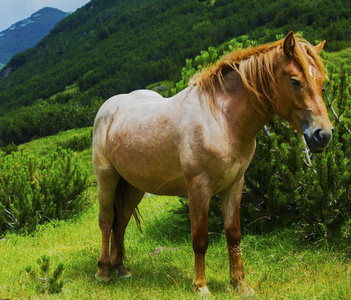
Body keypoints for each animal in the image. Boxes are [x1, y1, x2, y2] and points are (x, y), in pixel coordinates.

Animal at [93, 32, 332, 298]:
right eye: (294, 81)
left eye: (321, 82)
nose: (323, 134)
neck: (222, 119)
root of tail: (108, 108)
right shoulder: (199, 187)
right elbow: (200, 238)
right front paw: (200, 286)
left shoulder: (234, 185)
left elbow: (233, 233)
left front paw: (240, 284)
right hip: (107, 178)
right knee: (106, 220)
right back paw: (104, 272)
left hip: (133, 186)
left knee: (121, 221)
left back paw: (120, 269)